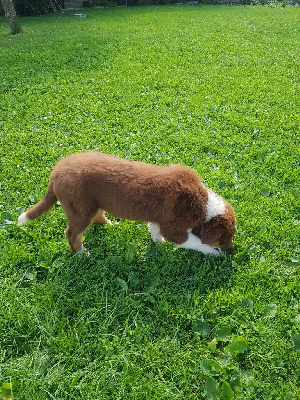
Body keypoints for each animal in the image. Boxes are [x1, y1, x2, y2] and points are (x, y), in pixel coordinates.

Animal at [17, 153, 237, 256]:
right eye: (225, 237)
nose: (232, 250)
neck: (204, 205)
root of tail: (56, 172)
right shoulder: (174, 228)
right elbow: (196, 241)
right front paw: (213, 253)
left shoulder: (159, 218)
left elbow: (154, 231)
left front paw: (157, 245)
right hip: (80, 209)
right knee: (72, 234)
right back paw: (82, 254)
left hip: (94, 204)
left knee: (98, 217)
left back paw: (111, 225)